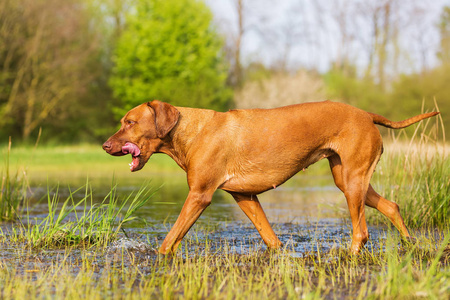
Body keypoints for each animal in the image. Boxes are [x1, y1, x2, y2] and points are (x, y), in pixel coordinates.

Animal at [103, 100, 438, 253]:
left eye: (130, 122)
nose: (105, 145)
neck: (190, 130)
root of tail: (366, 114)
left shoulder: (199, 195)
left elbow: (171, 237)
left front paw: (159, 256)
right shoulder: (245, 197)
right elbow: (271, 238)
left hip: (354, 181)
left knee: (362, 232)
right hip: (348, 180)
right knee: (391, 206)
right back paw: (411, 244)